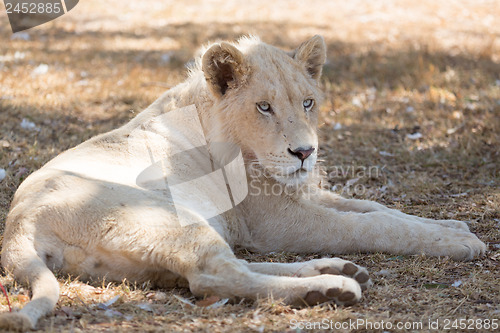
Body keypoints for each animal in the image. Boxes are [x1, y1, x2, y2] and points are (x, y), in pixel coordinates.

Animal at [0, 34, 484, 330]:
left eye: (308, 102)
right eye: (264, 107)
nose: (305, 153)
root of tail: (18, 226)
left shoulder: (300, 196)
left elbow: (377, 209)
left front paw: (452, 226)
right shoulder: (275, 222)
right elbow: (371, 225)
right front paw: (461, 242)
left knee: (230, 266)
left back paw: (334, 271)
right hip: (170, 217)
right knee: (214, 276)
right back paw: (332, 288)